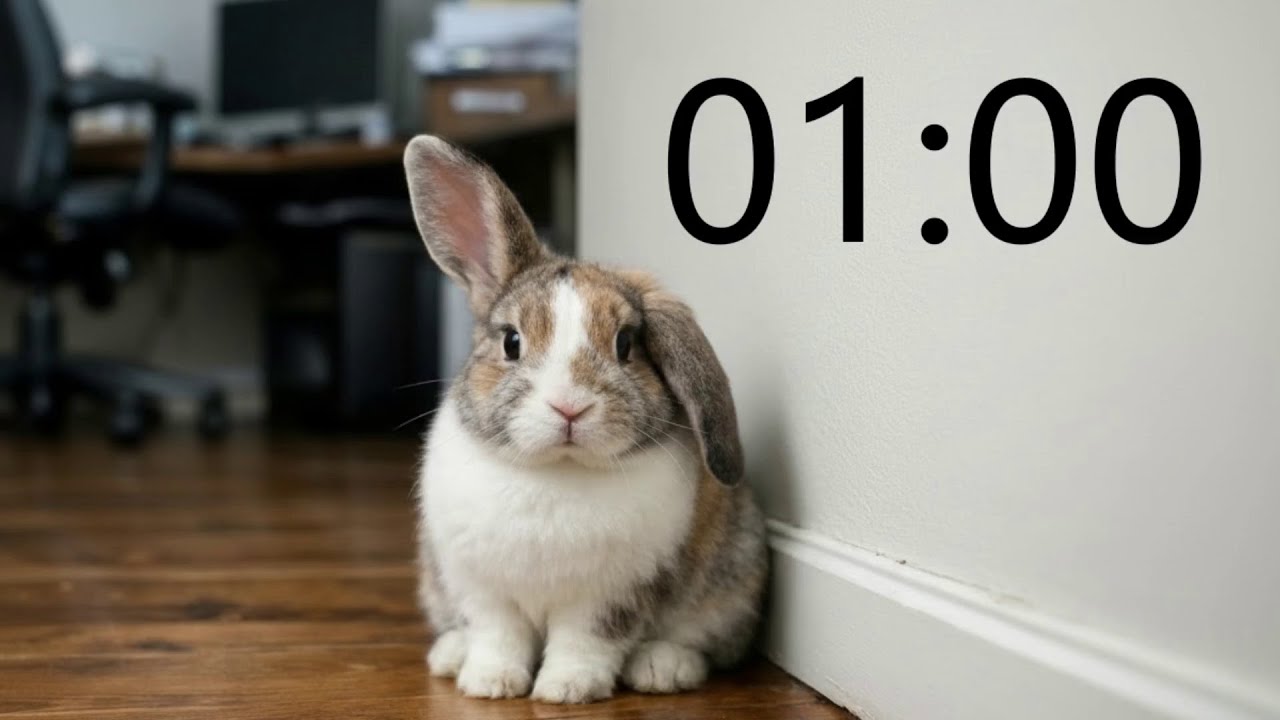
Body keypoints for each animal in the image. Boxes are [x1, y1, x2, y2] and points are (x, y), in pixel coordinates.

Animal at [405, 135, 767, 704]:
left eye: (626, 345)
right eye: (511, 342)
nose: (569, 406)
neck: (557, 470)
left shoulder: (611, 596)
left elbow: (586, 642)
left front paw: (566, 690)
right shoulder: (482, 590)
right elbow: (496, 636)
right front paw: (490, 684)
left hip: (731, 580)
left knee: (707, 644)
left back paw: (663, 668)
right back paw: (450, 655)